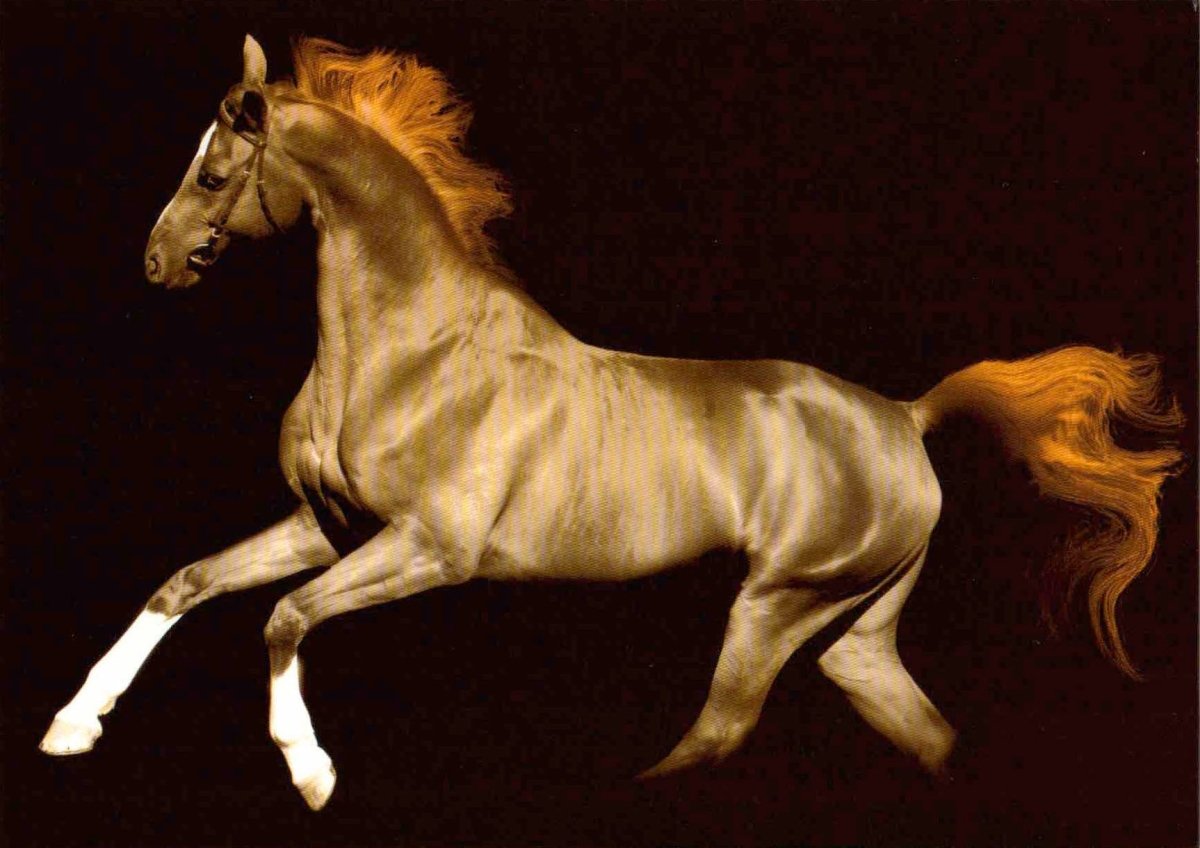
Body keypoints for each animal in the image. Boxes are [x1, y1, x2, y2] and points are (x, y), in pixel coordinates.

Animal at [40, 35, 1184, 812]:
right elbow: (187, 581)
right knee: (923, 730)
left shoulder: (430, 549)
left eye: (214, 170)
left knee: (719, 731)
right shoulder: (326, 526)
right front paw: (71, 724)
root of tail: (905, 416)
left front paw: (312, 770)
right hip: (855, 627)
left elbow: (284, 617)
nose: (155, 260)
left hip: (780, 600)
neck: (411, 351)